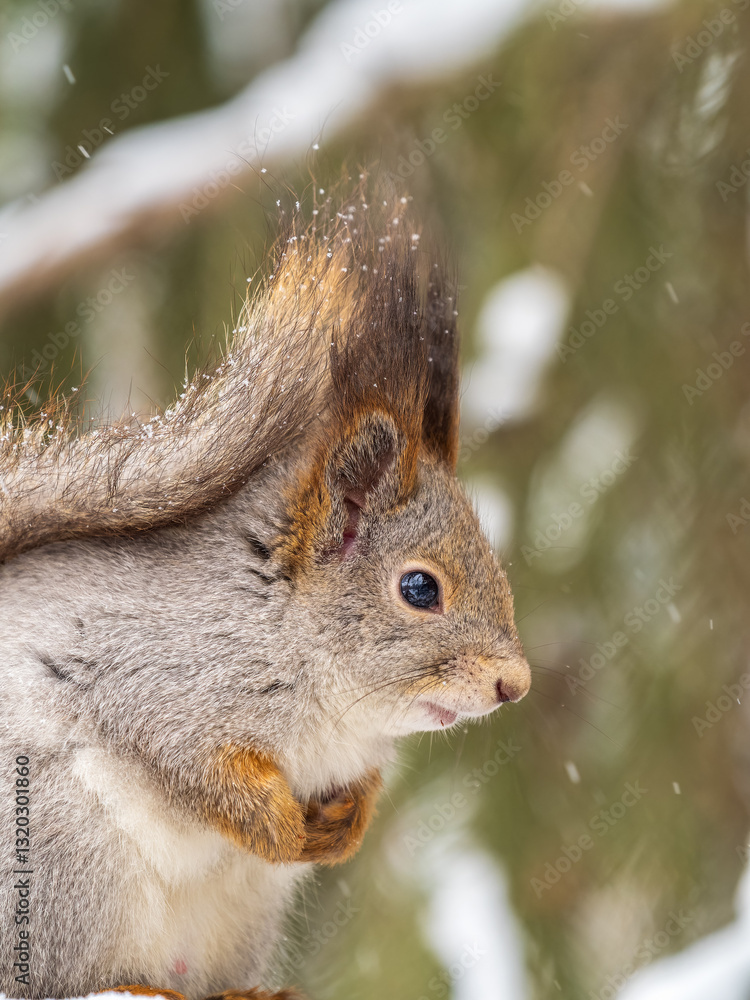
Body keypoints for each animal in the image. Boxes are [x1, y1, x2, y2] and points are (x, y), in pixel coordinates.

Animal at [0, 188, 531, 1000]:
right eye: (419, 587)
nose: (517, 683)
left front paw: (345, 827)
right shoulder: (152, 679)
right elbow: (190, 765)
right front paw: (281, 827)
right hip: (62, 860)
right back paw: (140, 984)